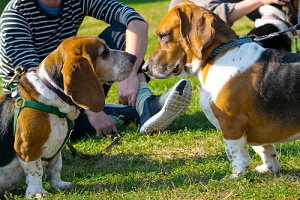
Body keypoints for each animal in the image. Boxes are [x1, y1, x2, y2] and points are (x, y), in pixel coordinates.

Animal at [0, 36, 136, 197]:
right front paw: (37, 192)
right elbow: (36, 171)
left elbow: (56, 167)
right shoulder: (27, 147)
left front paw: (59, 185)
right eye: (104, 53)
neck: (52, 94)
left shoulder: (58, 150)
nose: (134, 58)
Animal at [142, 1, 300, 179]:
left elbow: (236, 154)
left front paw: (235, 176)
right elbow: (263, 149)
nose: (144, 69)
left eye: (163, 35)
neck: (217, 55)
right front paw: (269, 168)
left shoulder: (231, 125)